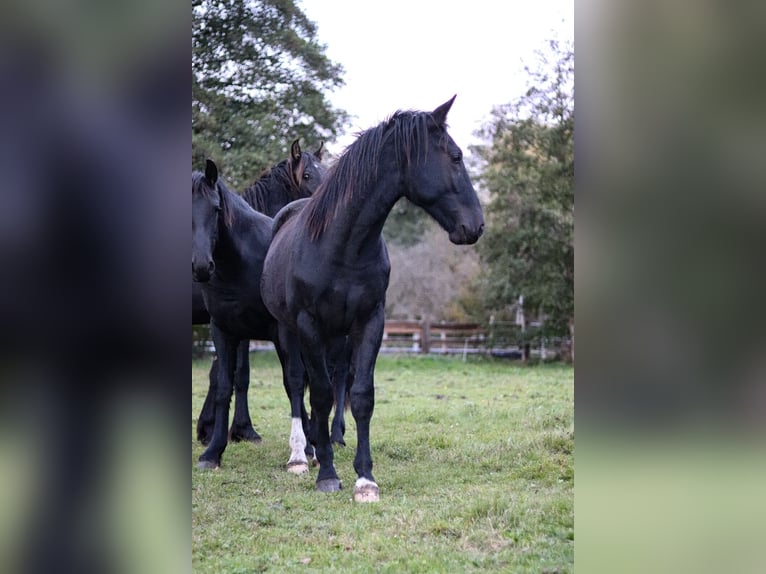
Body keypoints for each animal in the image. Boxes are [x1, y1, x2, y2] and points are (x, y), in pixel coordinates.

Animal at [261, 96, 484, 501]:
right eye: (456, 156)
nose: (475, 225)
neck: (342, 245)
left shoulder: (370, 321)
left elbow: (361, 396)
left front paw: (364, 479)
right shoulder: (308, 325)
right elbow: (317, 395)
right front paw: (328, 474)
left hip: (337, 335)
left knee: (335, 382)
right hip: (288, 331)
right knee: (297, 384)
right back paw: (301, 454)